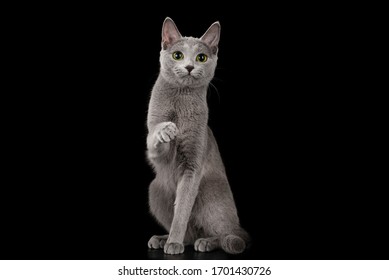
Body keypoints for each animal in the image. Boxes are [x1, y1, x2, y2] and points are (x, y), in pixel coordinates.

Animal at [146, 16, 249, 255]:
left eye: (201, 57)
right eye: (177, 55)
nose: (190, 66)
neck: (179, 101)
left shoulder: (193, 163)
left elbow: (182, 210)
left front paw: (174, 241)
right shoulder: (156, 148)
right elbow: (155, 144)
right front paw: (166, 130)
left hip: (209, 191)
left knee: (224, 233)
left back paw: (205, 242)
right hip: (155, 189)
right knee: (191, 235)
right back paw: (163, 239)